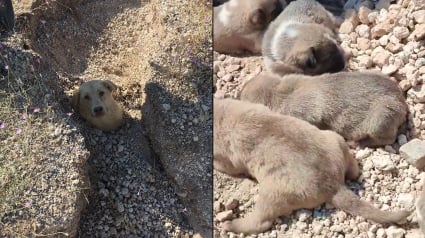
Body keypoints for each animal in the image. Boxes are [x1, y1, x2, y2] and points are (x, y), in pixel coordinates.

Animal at [214, 98, 410, 234]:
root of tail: (334, 185)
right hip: (334, 138)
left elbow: (225, 165)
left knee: (261, 220)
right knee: (353, 169)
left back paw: (231, 224)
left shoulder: (228, 158)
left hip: (272, 194)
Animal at [240, 71, 406, 147]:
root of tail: (402, 101)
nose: (238, 92)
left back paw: (358, 142)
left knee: (388, 138)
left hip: (381, 116)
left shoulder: (302, 112)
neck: (278, 92)